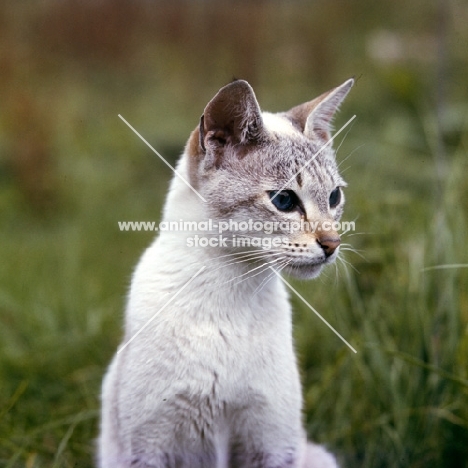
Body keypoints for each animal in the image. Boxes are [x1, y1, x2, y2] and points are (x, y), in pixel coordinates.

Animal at [99, 78, 354, 466]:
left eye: (334, 197)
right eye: (284, 201)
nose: (332, 244)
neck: (230, 284)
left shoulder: (271, 444)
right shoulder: (148, 448)